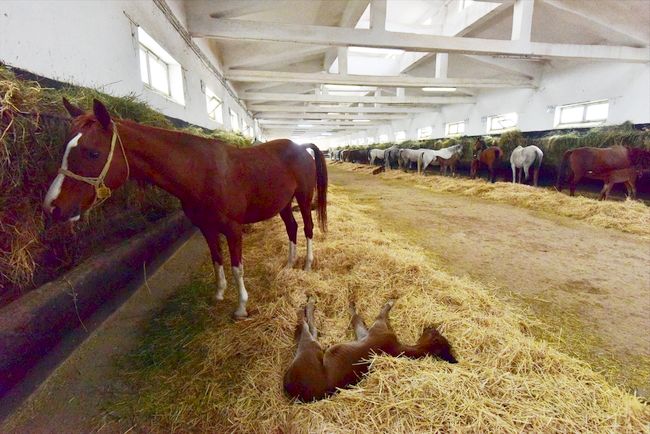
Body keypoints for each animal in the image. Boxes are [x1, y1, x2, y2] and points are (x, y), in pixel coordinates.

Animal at [43, 98, 326, 318]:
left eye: (92, 153)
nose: (52, 207)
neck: (201, 172)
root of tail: (301, 147)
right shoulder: (206, 228)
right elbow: (216, 259)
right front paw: (219, 294)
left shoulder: (233, 230)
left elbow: (237, 267)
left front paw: (241, 307)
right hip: (284, 204)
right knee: (292, 227)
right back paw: (289, 264)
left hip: (303, 198)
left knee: (308, 228)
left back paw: (308, 264)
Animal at [284, 296, 456, 402]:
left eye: (434, 332)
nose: (429, 326)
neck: (399, 348)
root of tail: (292, 389)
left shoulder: (372, 330)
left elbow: (360, 317)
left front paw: (353, 305)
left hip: (310, 348)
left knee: (307, 328)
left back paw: (306, 305)